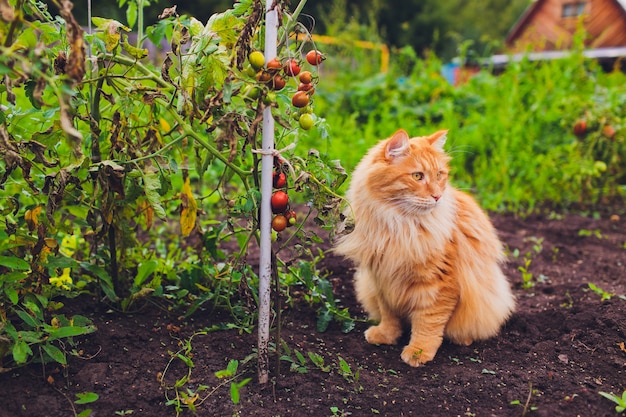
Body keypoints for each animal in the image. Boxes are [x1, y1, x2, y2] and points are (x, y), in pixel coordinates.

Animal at [334, 128, 516, 366]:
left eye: (439, 175)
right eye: (417, 176)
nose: (437, 196)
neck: (398, 225)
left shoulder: (438, 285)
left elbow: (428, 324)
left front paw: (418, 352)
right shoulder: (382, 277)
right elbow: (389, 315)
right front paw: (386, 335)